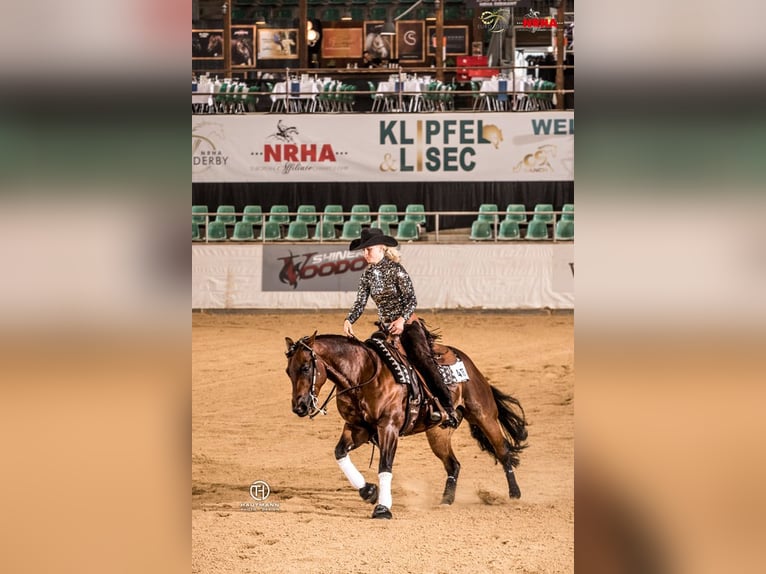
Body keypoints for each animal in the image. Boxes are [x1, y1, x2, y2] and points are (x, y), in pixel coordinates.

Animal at [284, 330, 532, 520]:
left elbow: (384, 465)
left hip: (484, 416)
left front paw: (382, 508)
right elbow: (340, 453)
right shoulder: (357, 428)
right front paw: (368, 491)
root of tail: (468, 363)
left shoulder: (389, 428)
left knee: (503, 452)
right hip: (438, 434)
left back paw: (514, 494)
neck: (364, 374)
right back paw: (446, 500)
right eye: (288, 371)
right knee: (453, 465)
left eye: (305, 367)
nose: (299, 407)